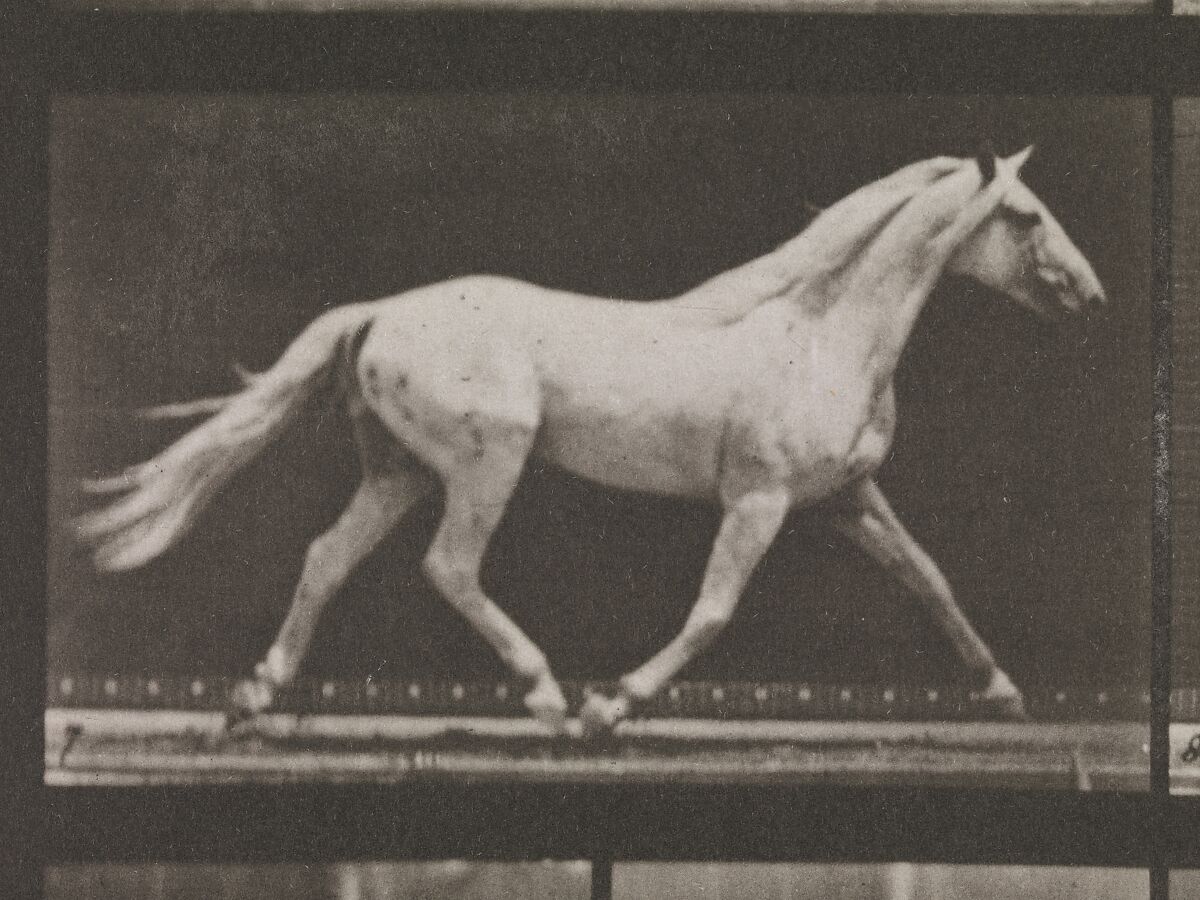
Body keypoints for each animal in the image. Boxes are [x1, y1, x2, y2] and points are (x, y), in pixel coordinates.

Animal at [75, 147, 1106, 735]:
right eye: (1023, 216)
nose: (1090, 296)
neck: (821, 334)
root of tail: (381, 313)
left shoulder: (848, 500)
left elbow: (931, 580)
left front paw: (1002, 692)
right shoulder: (759, 501)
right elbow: (713, 611)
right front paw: (616, 701)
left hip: (400, 473)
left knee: (327, 556)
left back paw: (259, 692)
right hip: (486, 464)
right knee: (448, 567)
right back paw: (547, 695)